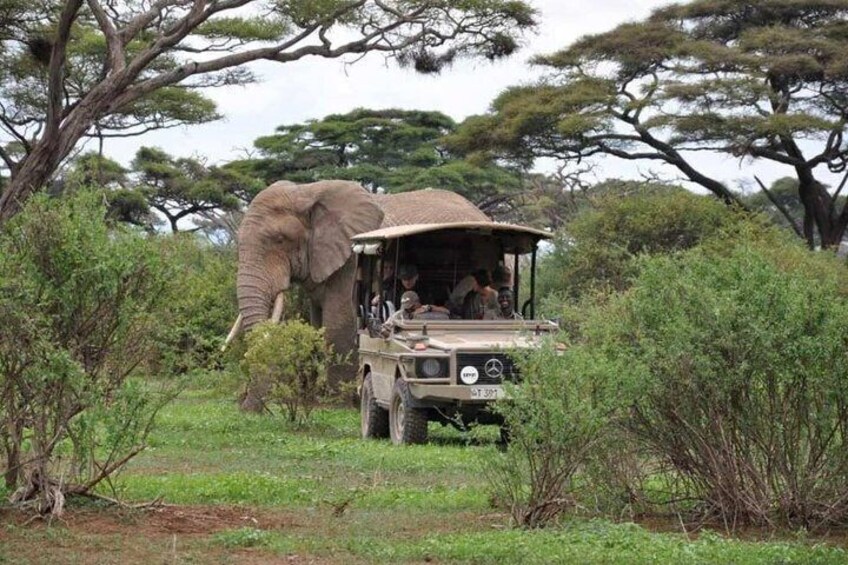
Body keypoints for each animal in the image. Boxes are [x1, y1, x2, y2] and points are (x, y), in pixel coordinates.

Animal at [231, 179, 490, 411]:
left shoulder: (350, 261)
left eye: (280, 240)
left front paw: (336, 405)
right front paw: (315, 399)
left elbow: (338, 326)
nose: (245, 406)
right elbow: (317, 327)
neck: (307, 191)